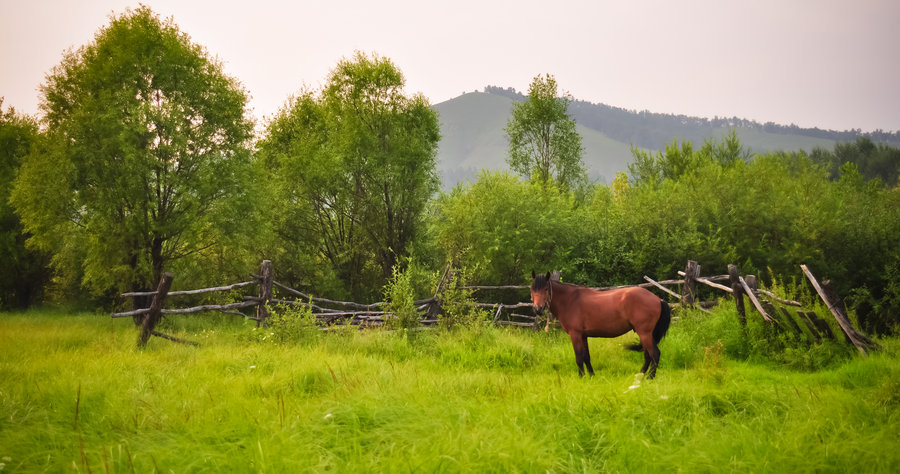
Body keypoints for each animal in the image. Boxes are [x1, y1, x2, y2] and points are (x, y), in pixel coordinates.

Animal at [532, 270, 672, 378]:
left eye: (546, 289)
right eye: (532, 289)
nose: (538, 309)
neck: (570, 300)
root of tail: (658, 299)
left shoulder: (575, 334)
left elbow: (579, 357)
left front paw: (581, 377)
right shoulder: (583, 336)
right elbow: (586, 357)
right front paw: (591, 376)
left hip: (644, 333)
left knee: (654, 354)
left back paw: (649, 378)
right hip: (645, 334)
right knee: (648, 355)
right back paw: (640, 375)